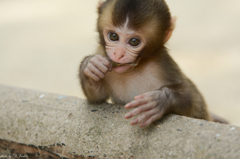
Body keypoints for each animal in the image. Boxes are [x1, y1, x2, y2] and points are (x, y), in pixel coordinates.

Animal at [79, 0, 225, 127]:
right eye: (113, 36)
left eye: (134, 41)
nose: (118, 54)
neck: (134, 69)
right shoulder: (103, 53)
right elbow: (97, 98)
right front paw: (91, 65)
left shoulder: (162, 64)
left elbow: (193, 102)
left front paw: (160, 100)